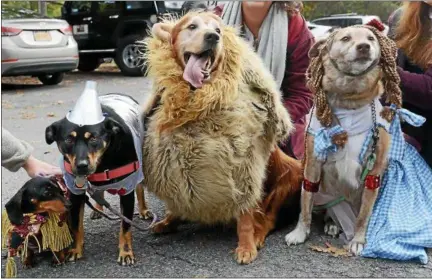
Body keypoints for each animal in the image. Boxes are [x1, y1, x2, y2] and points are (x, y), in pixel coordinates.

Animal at [45, 93, 150, 266]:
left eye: (94, 138)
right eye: (69, 140)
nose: (82, 166)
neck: (103, 163)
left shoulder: (126, 189)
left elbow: (125, 227)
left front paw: (126, 253)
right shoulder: (75, 193)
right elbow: (76, 226)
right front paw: (76, 250)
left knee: (140, 188)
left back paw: (143, 210)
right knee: (98, 192)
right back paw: (97, 209)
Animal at [140, 11, 302, 264]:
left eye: (218, 30)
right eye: (192, 26)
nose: (212, 37)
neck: (197, 102)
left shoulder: (244, 167)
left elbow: (246, 215)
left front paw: (246, 247)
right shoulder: (175, 168)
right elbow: (179, 199)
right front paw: (170, 219)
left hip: (290, 176)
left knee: (268, 219)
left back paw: (257, 236)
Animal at [284, 24, 402, 256]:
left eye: (371, 38)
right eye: (346, 38)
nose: (364, 46)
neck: (350, 100)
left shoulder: (373, 173)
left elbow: (364, 214)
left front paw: (357, 240)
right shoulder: (312, 163)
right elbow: (306, 201)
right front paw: (300, 232)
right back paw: (331, 224)